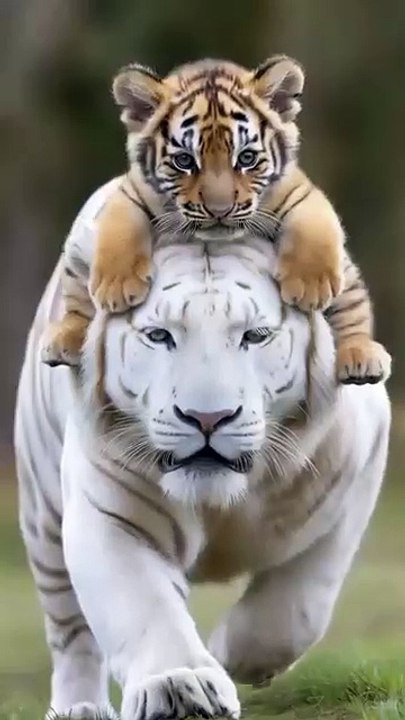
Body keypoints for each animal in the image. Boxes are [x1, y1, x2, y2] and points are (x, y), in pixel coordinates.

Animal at [15, 177, 391, 720]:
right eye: (159, 336)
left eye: (255, 336)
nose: (207, 418)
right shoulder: (111, 510)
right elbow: (144, 607)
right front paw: (181, 687)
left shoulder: (358, 472)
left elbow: (297, 605)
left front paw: (234, 655)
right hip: (43, 518)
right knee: (70, 634)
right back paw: (79, 709)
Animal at [41, 55, 391, 386]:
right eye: (184, 161)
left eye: (246, 158)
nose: (219, 209)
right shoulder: (131, 191)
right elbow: (119, 227)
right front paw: (116, 286)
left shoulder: (299, 190)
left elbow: (313, 225)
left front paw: (310, 286)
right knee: (76, 305)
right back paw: (64, 339)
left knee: (354, 312)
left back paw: (361, 357)